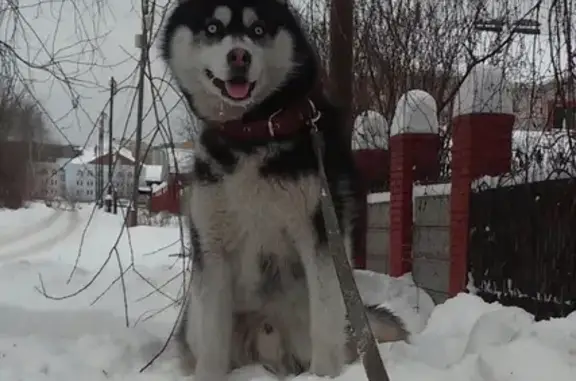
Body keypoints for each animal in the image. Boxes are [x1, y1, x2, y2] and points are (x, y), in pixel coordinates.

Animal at [160, 1, 408, 378]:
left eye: (258, 29)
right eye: (213, 28)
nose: (239, 56)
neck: (253, 133)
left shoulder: (319, 235)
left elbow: (324, 322)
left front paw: (323, 376)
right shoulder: (212, 246)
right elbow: (213, 338)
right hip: (197, 321)